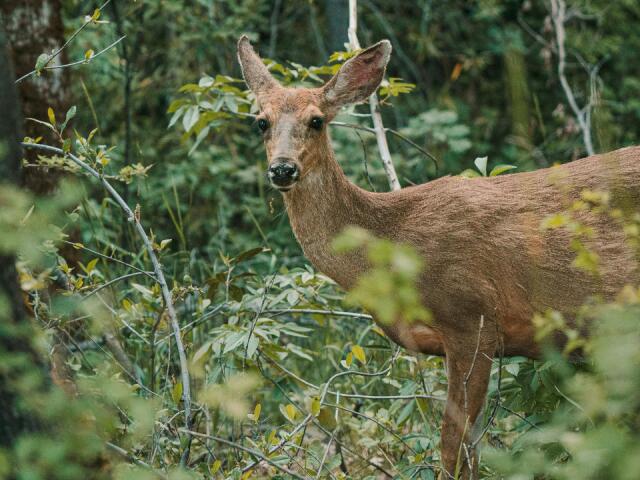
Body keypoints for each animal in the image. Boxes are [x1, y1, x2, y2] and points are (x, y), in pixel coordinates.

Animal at [237, 35, 640, 479]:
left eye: (317, 121)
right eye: (261, 122)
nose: (283, 169)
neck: (394, 245)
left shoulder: (472, 316)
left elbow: (452, 446)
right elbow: (469, 448)